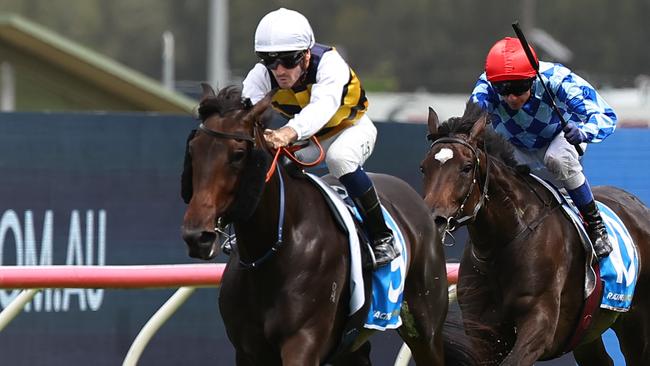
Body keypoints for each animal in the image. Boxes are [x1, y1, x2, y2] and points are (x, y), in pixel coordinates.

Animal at [180, 84, 456, 364]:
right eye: (193, 150)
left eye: (237, 155)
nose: (197, 235)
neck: (278, 246)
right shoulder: (248, 350)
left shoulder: (304, 341)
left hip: (425, 329)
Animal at [420, 102, 648, 366]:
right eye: (423, 167)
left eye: (466, 168)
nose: (434, 219)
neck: (500, 245)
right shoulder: (483, 334)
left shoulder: (539, 324)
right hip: (588, 332)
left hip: (636, 323)